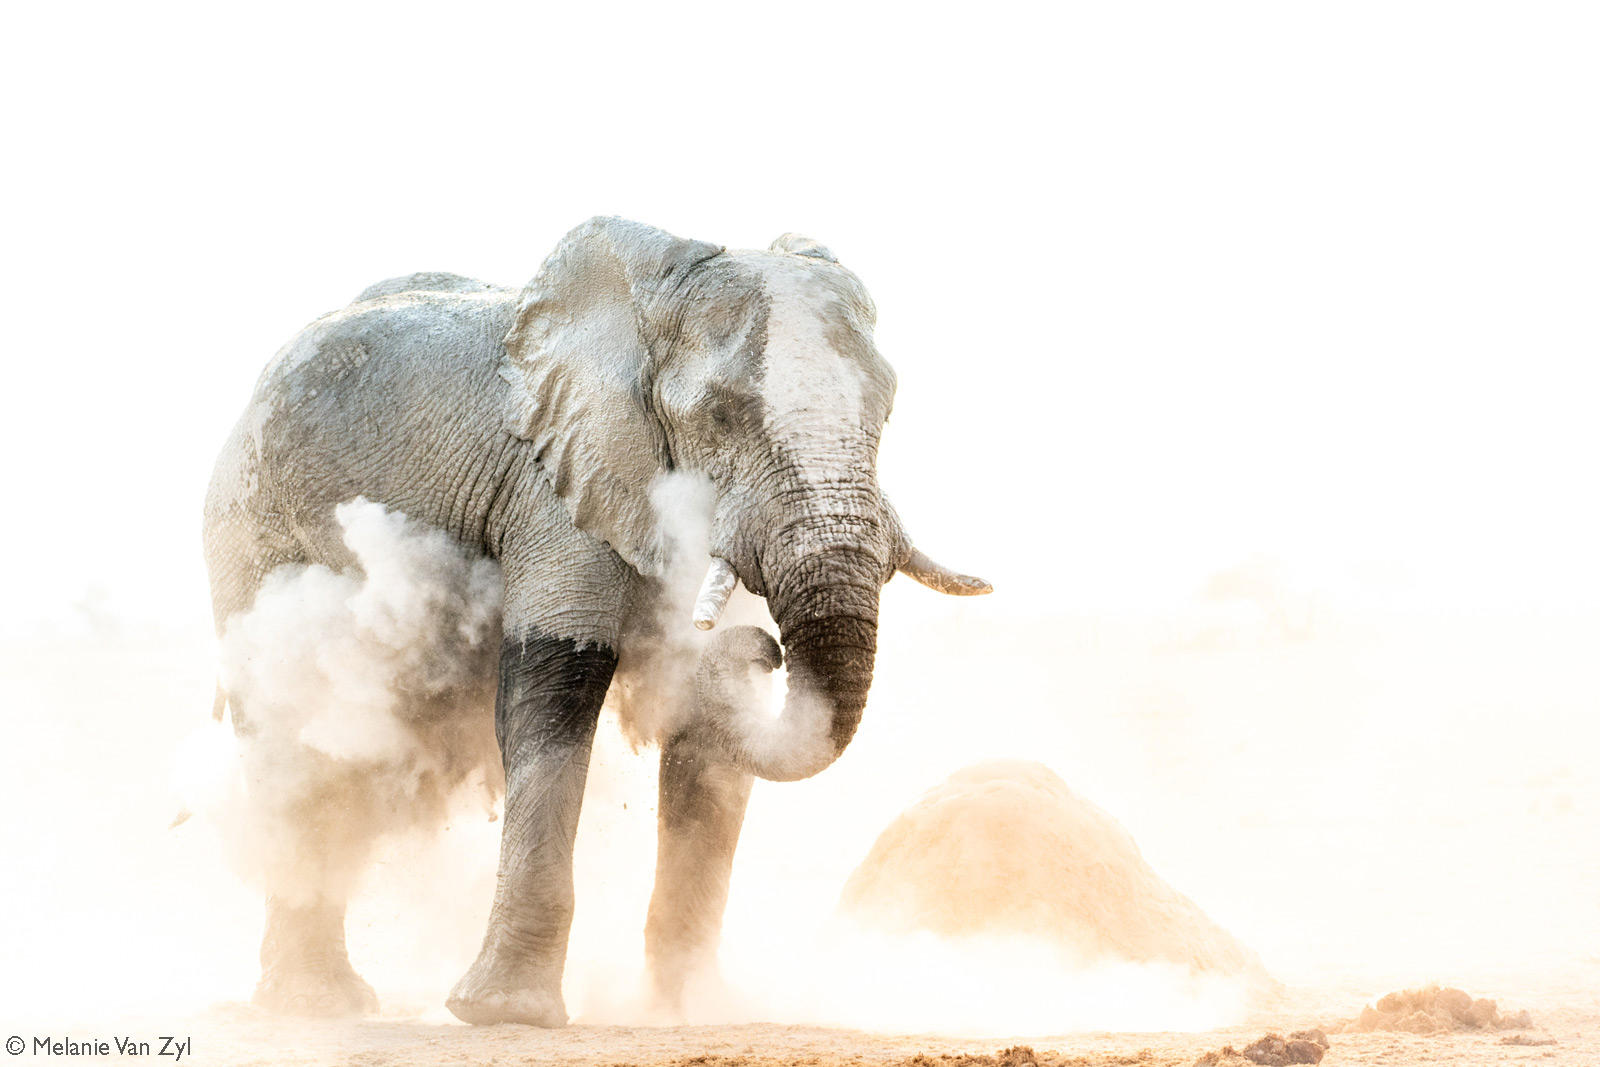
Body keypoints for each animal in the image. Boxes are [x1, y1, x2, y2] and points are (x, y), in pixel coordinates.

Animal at [203, 214, 985, 1023]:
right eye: (723, 416)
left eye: (886, 412)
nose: (758, 646)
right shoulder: (552, 481)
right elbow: (559, 683)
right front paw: (506, 1014)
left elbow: (706, 742)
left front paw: (694, 1010)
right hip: (248, 526)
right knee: (288, 729)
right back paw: (314, 1005)